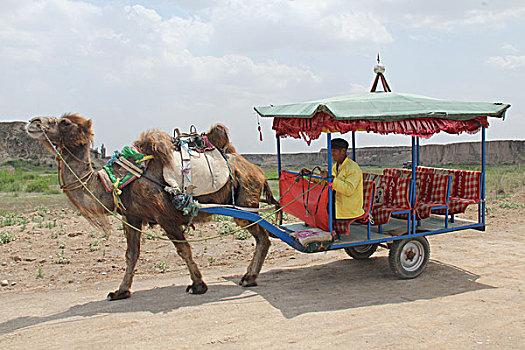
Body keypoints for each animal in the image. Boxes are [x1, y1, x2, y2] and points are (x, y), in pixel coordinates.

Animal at [25, 114, 278, 300]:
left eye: (64, 122)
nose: (33, 122)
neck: (121, 180)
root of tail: (258, 172)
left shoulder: (165, 216)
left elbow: (183, 250)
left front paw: (198, 285)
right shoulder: (132, 216)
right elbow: (131, 254)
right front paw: (120, 291)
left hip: (244, 202)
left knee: (262, 237)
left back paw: (248, 277)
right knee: (263, 237)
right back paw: (249, 277)